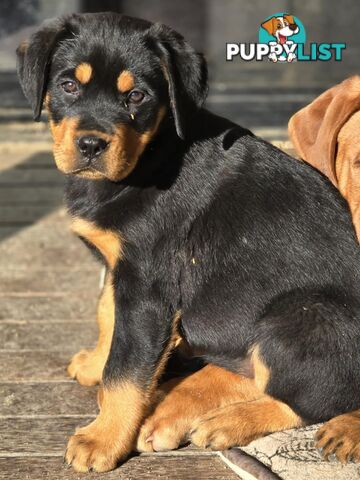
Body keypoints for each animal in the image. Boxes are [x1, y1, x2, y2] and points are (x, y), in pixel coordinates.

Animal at [17, 11, 360, 472]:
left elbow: (126, 370)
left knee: (314, 396)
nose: (90, 144)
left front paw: (101, 439)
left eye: (137, 97)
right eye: (69, 85)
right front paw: (95, 363)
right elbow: (107, 313)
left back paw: (227, 422)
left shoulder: (148, 289)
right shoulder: (121, 268)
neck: (149, 156)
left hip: (297, 318)